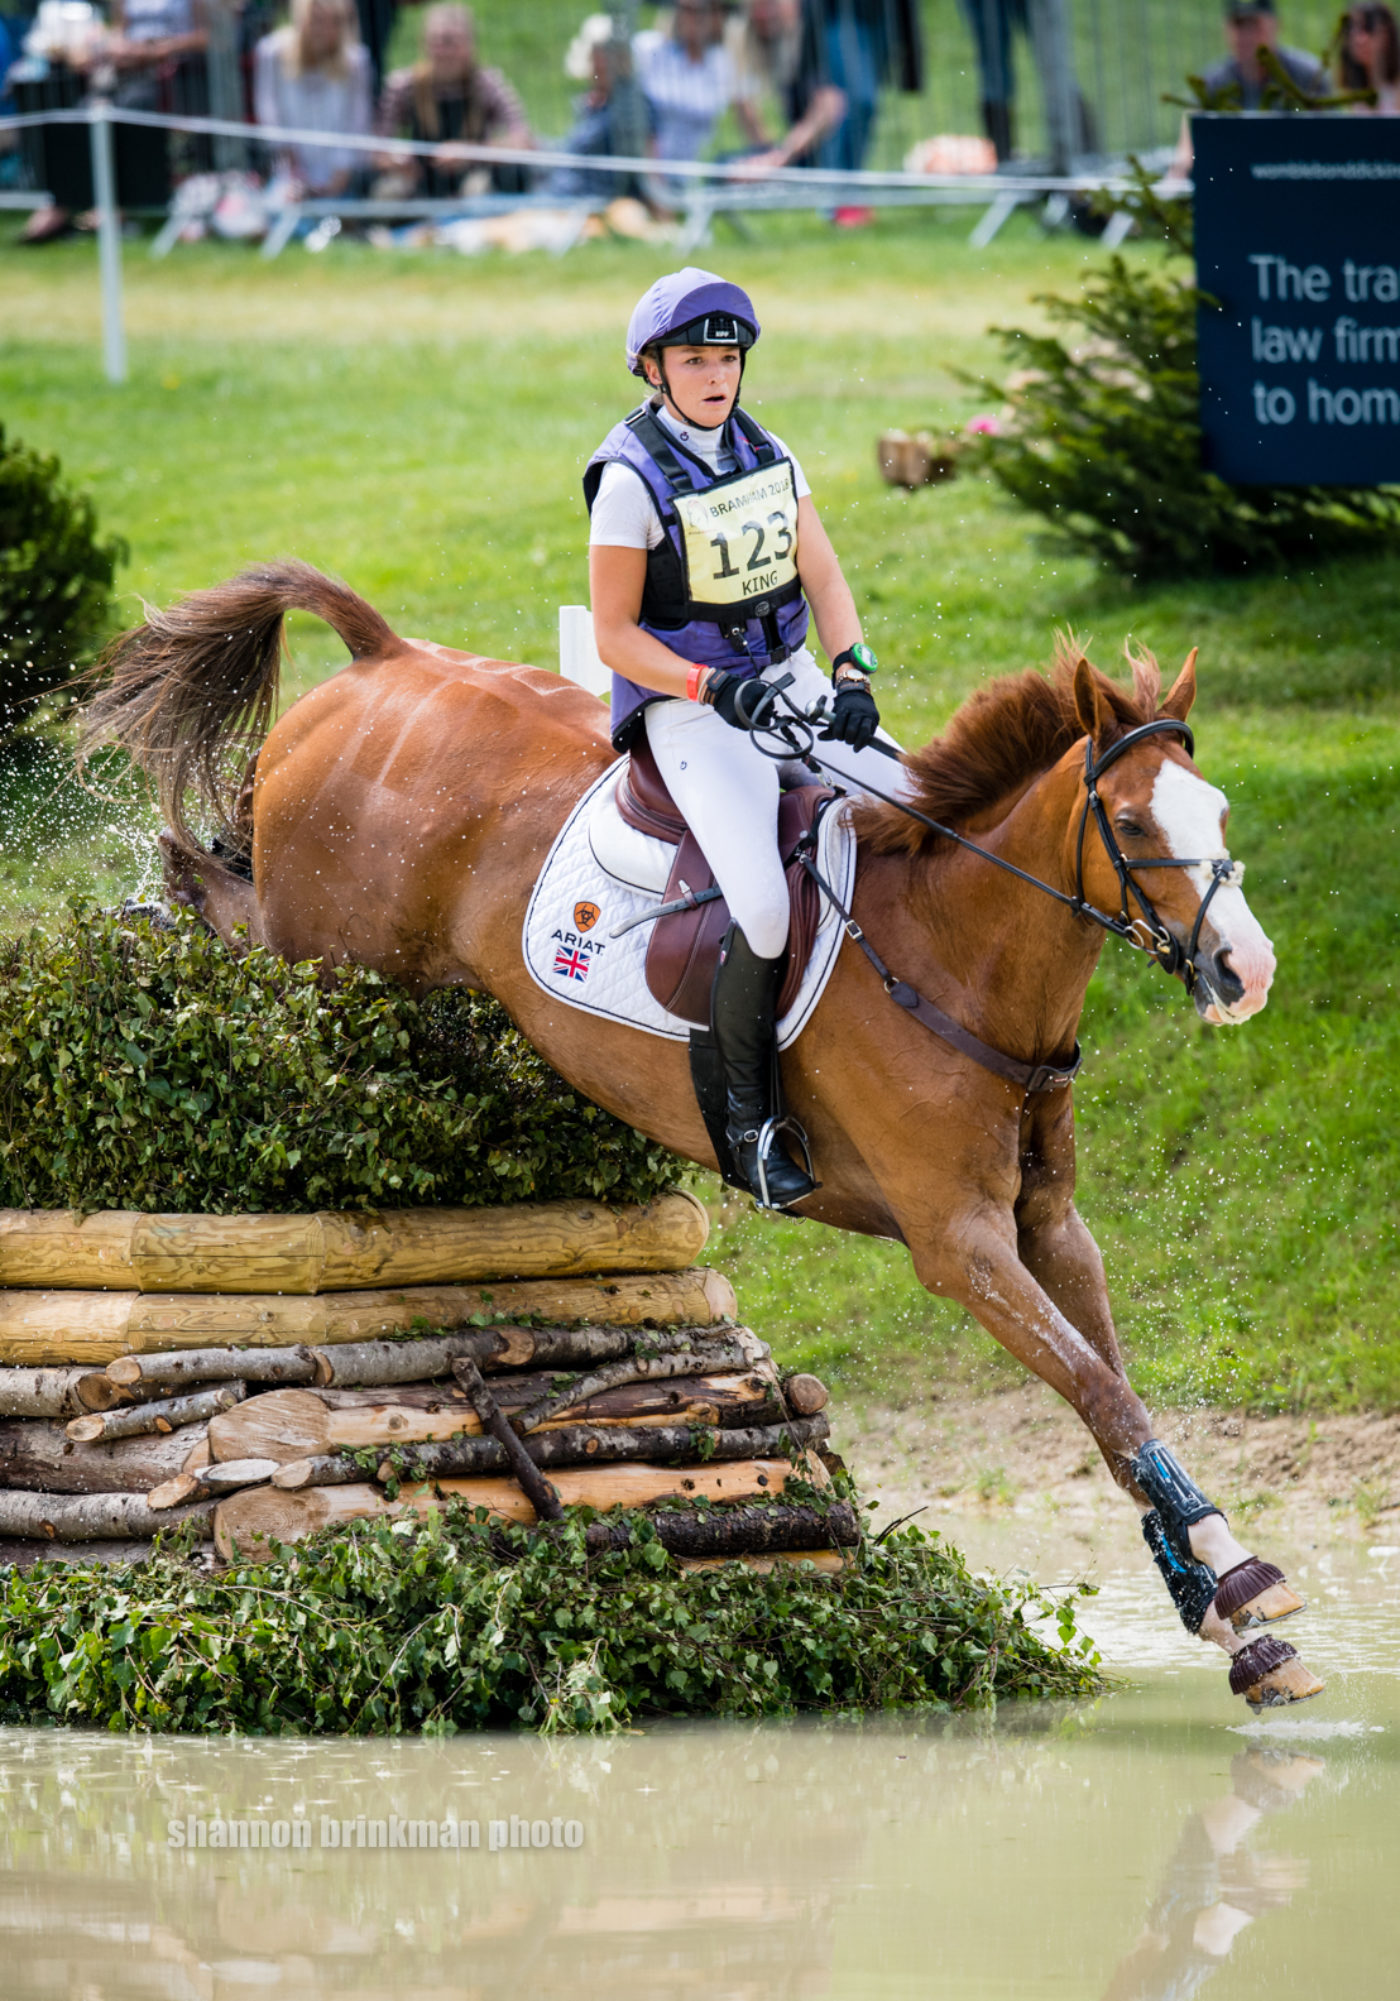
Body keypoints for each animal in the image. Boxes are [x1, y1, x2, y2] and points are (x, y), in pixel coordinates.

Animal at [85, 568, 1320, 1704]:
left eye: (1216, 815)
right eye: (1130, 824)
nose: (1247, 971)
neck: (956, 951)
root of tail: (382, 661)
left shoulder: (1050, 1227)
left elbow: (1111, 1391)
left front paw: (1225, 1610)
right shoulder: (959, 1245)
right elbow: (1103, 1395)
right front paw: (1233, 1578)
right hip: (322, 960)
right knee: (234, 930)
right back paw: (156, 907)